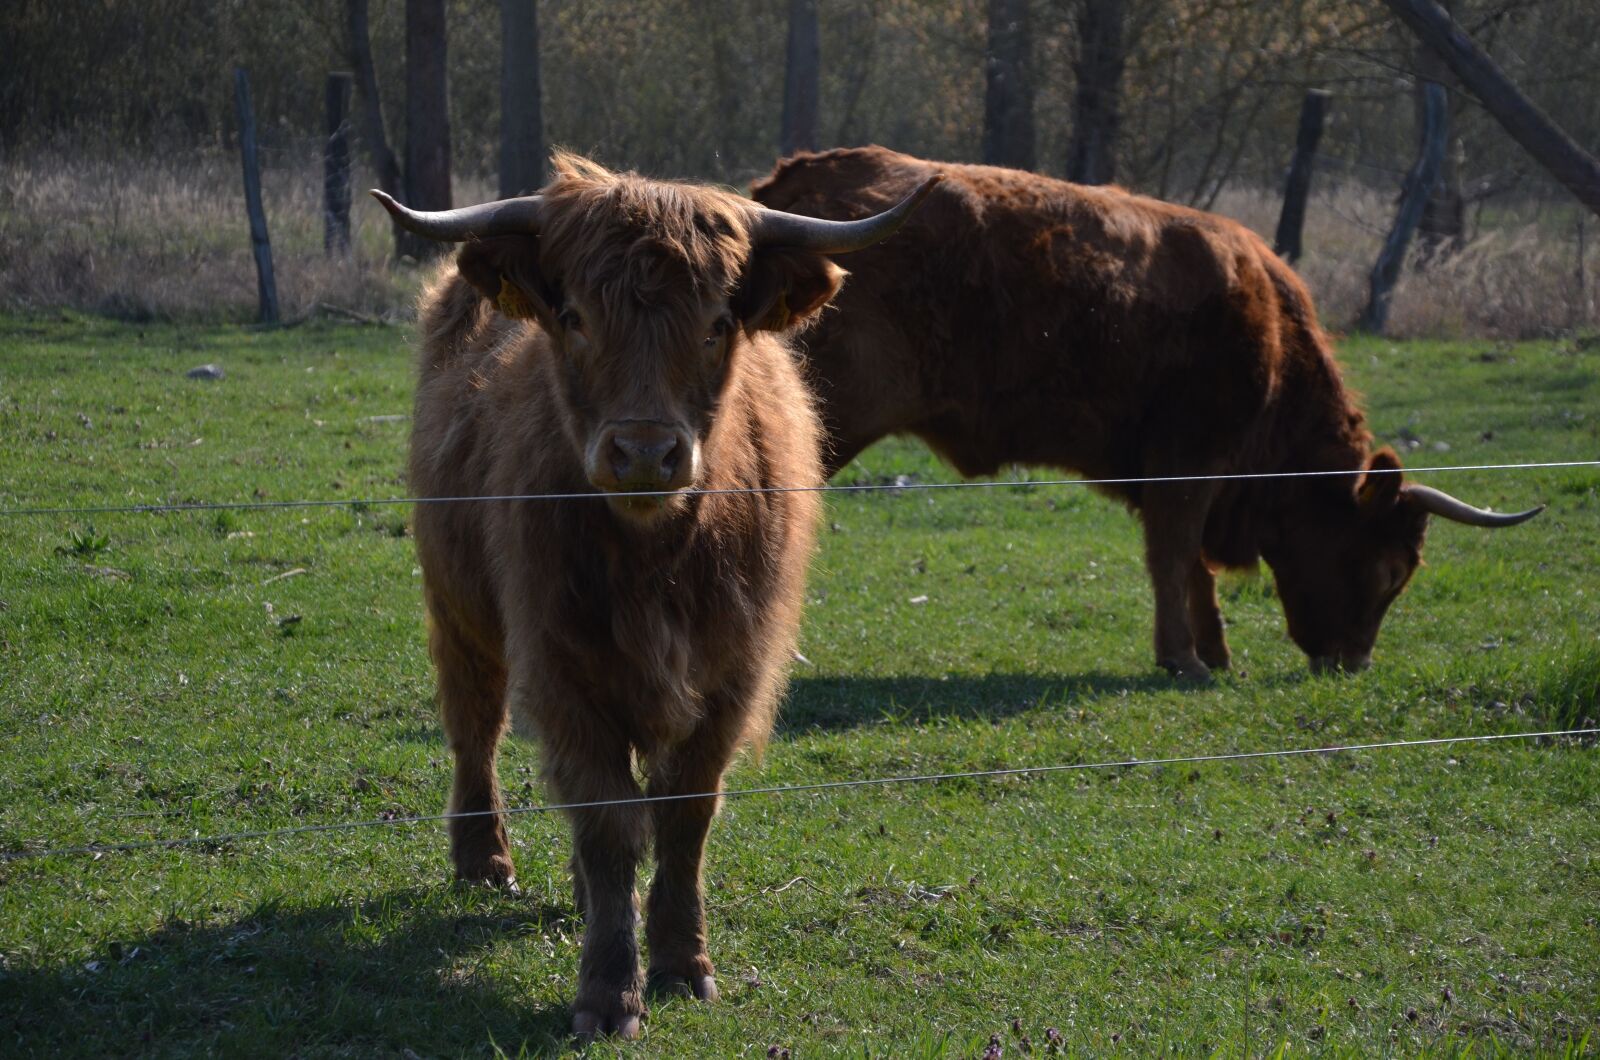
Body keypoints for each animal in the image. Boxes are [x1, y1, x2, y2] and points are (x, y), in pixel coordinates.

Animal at [375, 152, 935, 1038]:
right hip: (458, 606)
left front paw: (680, 961)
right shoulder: (562, 666)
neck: (657, 557)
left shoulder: (732, 673)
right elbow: (608, 821)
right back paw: (484, 859)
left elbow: (680, 815)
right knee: (474, 724)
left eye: (717, 322)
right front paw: (609, 992)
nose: (643, 453)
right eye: (573, 317)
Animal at [751, 146, 1542, 679]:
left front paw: (1215, 651)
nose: (1351, 663)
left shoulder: (1180, 474)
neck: (1272, 334)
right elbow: (1174, 554)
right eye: (1390, 569)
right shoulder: (1188, 463)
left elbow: (1193, 566)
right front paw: (1184, 658)